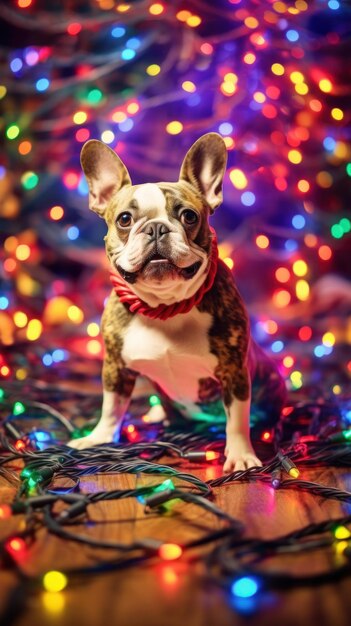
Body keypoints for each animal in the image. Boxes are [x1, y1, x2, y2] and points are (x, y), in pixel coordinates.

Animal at [70, 133, 288, 472]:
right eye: (124, 219)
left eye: (189, 216)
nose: (156, 227)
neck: (164, 308)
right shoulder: (115, 367)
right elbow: (111, 407)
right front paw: (98, 438)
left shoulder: (235, 371)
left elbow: (236, 419)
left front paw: (241, 454)